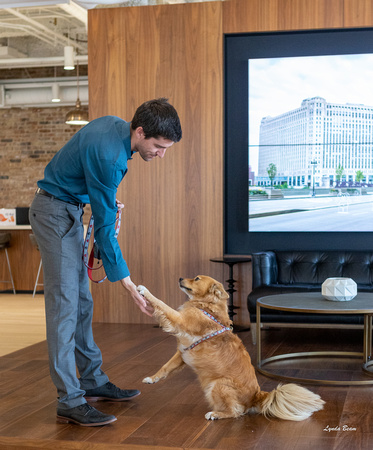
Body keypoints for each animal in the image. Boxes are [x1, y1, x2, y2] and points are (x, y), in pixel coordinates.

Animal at [138, 276, 324, 420]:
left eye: (197, 278)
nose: (180, 278)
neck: (207, 306)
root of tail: (257, 396)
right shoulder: (183, 351)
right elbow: (166, 367)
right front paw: (152, 379)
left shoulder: (179, 320)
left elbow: (161, 303)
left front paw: (144, 290)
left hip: (218, 384)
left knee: (236, 412)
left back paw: (215, 414)